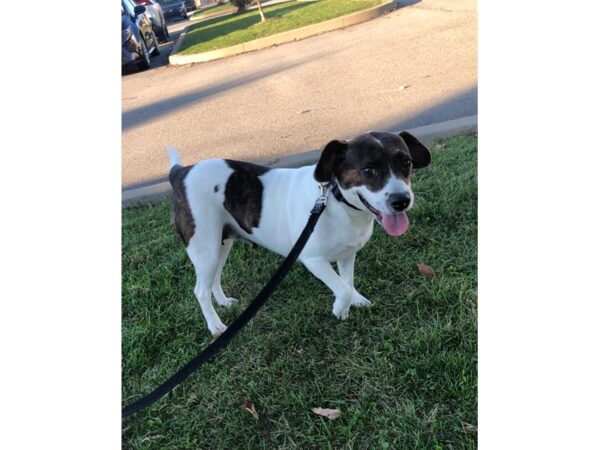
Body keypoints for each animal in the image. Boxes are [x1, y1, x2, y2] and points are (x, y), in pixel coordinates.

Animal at [169, 130, 432, 334]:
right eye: (368, 170)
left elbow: (347, 282)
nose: (401, 200)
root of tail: (180, 172)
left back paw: (224, 303)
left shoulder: (348, 254)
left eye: (406, 162)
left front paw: (355, 301)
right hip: (204, 246)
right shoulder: (313, 259)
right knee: (200, 290)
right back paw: (215, 326)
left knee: (213, 278)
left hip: (221, 242)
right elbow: (342, 289)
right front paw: (340, 308)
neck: (336, 201)